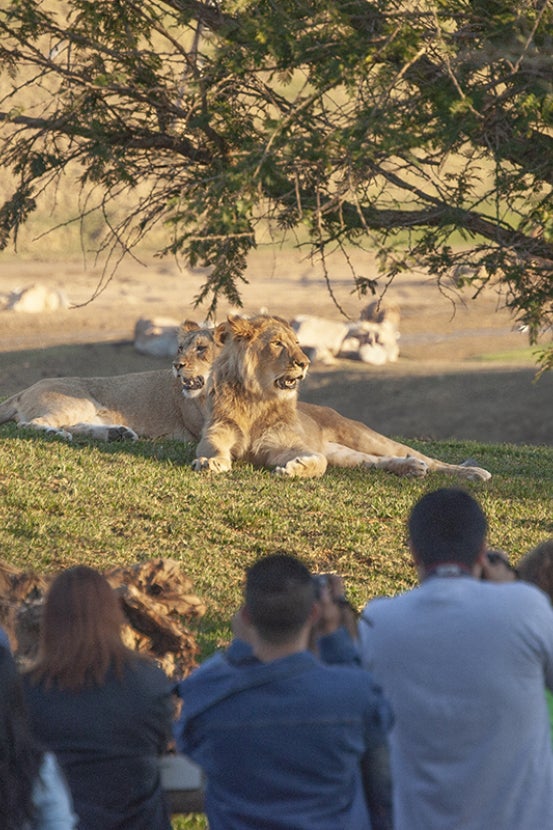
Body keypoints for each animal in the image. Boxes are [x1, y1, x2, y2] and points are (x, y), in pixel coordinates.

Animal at [0, 321, 214, 442]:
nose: (177, 365)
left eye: (201, 348)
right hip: (79, 403)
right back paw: (55, 434)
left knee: (73, 426)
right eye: (180, 348)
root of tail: (24, 391)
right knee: (28, 425)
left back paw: (117, 433)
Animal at [192, 314, 491, 480]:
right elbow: (213, 449)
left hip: (363, 436)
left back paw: (473, 473)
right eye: (277, 343)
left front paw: (297, 469)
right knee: (375, 462)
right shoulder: (217, 432)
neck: (258, 397)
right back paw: (410, 468)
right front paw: (210, 463)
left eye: (298, 344)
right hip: (346, 454)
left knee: (430, 460)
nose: (305, 363)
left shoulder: (283, 447)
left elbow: (318, 462)